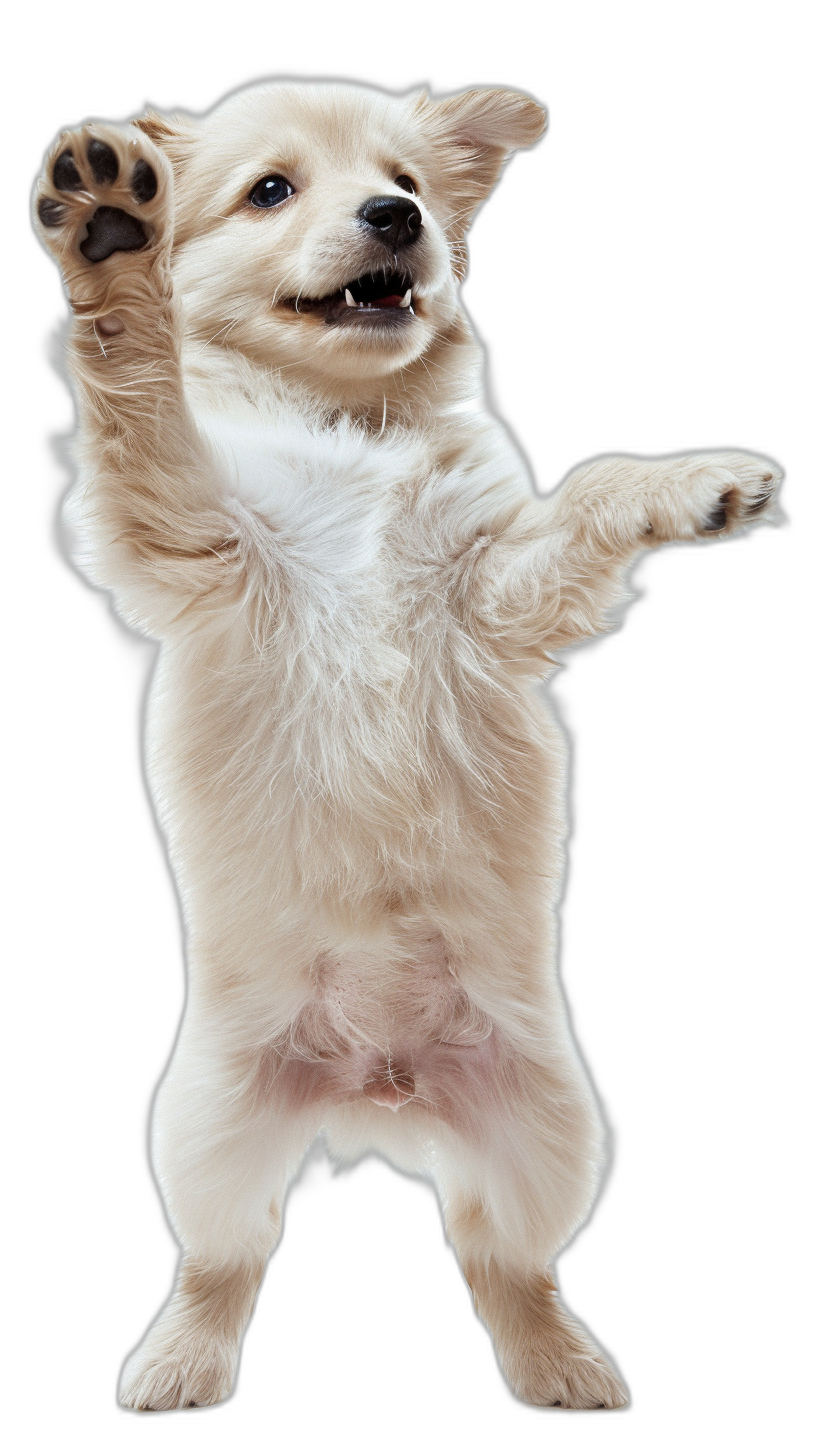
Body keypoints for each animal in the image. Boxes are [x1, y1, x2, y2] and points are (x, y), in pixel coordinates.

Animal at [31, 76, 786, 1409]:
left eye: (411, 184)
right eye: (271, 190)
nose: (396, 220)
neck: (356, 431)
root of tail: (378, 1088)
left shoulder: (498, 593)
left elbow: (593, 487)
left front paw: (700, 482)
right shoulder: (196, 529)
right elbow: (144, 391)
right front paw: (112, 243)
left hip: (552, 1126)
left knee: (503, 1255)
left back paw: (561, 1363)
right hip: (203, 1126)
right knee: (224, 1256)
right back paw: (179, 1361)